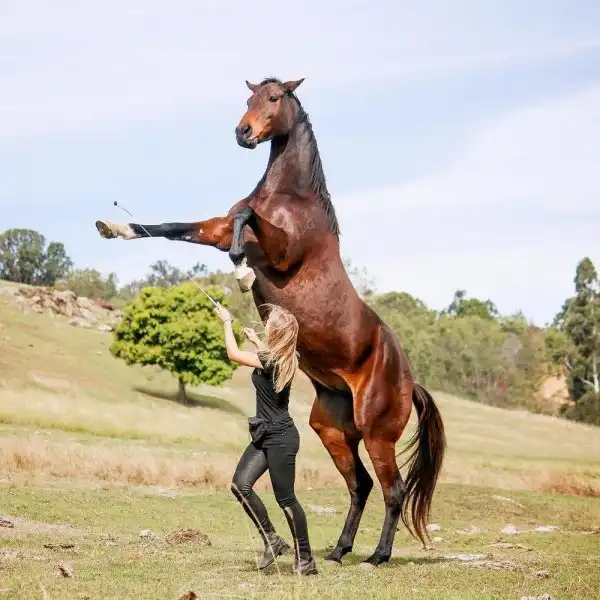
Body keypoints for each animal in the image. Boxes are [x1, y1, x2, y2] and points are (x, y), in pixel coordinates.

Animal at [95, 77, 446, 567]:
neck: (290, 198)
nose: (243, 133)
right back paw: (338, 550)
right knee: (360, 485)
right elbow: (175, 226)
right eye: (249, 97)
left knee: (392, 490)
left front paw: (241, 269)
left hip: (378, 434)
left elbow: (246, 221)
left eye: (275, 98)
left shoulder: (278, 250)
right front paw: (114, 226)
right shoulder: (216, 227)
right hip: (333, 430)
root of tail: (408, 379)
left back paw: (377, 556)